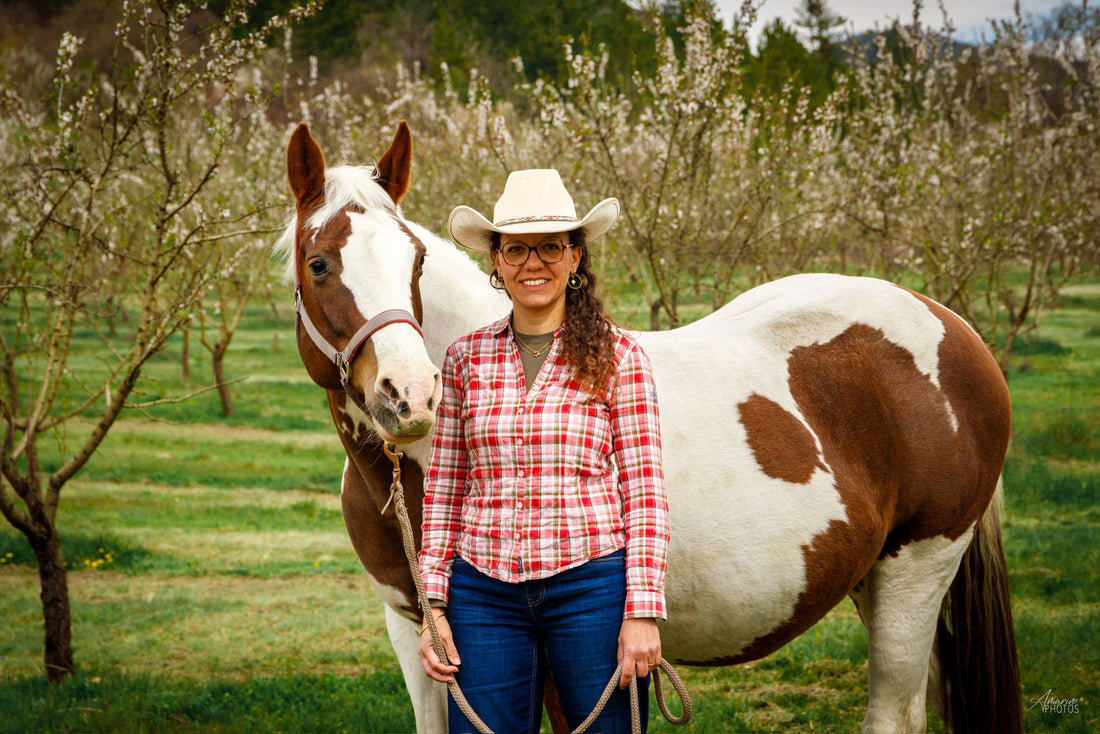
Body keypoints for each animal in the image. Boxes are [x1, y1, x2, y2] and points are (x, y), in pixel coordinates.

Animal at [275, 121, 1023, 734]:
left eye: (417, 262)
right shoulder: (419, 632)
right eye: (319, 263)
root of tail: (952, 327)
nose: (411, 395)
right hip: (877, 577)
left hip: (917, 570)